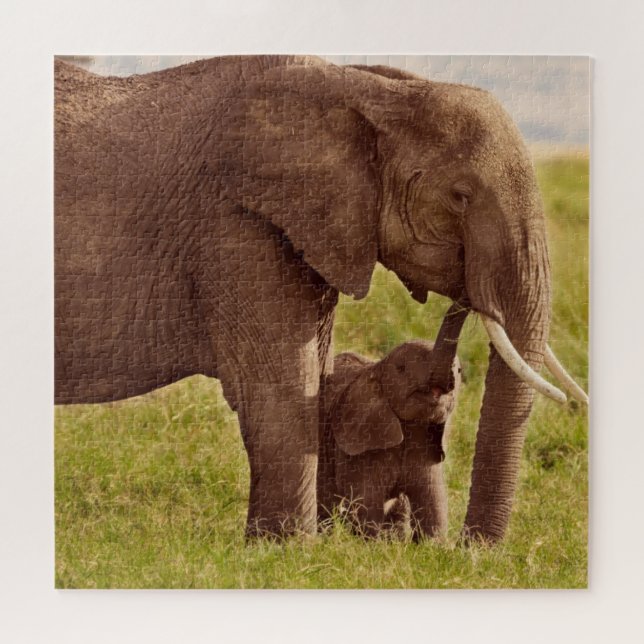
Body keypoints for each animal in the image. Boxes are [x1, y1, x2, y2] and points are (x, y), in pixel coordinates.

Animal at [318, 304, 467, 540]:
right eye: (402, 368)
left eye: (460, 371)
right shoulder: (359, 446)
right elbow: (366, 501)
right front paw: (371, 542)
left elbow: (433, 501)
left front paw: (432, 545)